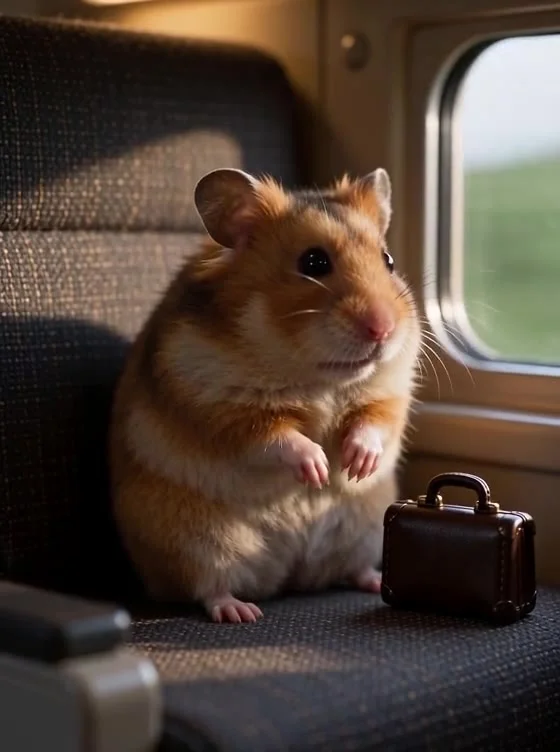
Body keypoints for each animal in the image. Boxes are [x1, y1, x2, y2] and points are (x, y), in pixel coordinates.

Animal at [109, 166, 421, 623]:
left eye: (389, 261)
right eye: (314, 262)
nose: (383, 329)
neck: (318, 378)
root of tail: (289, 578)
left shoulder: (390, 393)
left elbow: (374, 422)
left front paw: (355, 466)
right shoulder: (216, 404)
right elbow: (276, 437)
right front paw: (318, 469)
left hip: (363, 531)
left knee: (351, 568)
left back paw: (372, 580)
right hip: (195, 542)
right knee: (208, 587)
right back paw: (240, 612)